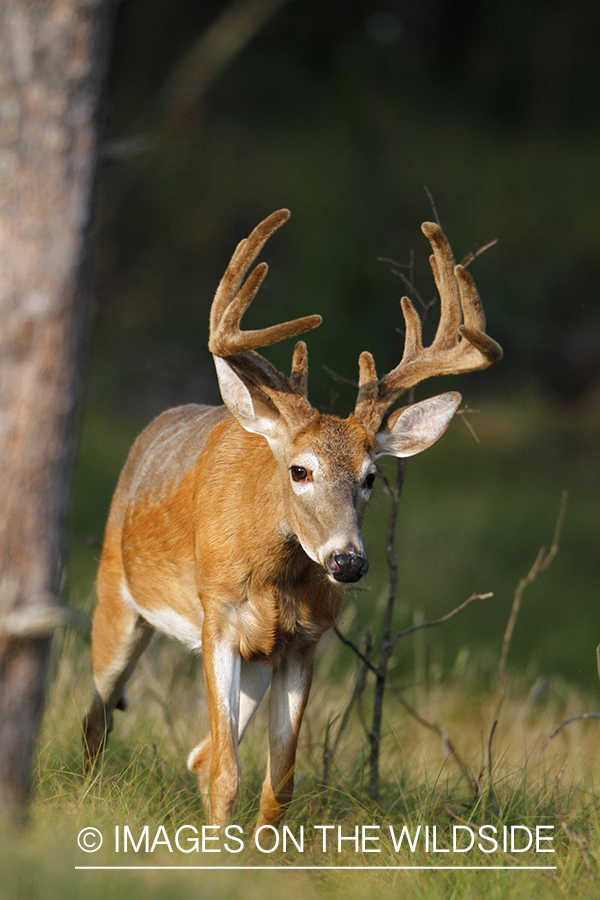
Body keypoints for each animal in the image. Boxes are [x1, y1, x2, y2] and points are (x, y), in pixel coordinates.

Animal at [81, 209, 502, 828]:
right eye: (300, 470)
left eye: (371, 477)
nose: (347, 562)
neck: (273, 576)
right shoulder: (217, 615)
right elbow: (230, 771)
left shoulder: (303, 641)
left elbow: (278, 781)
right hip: (116, 597)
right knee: (100, 716)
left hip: (258, 657)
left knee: (197, 752)